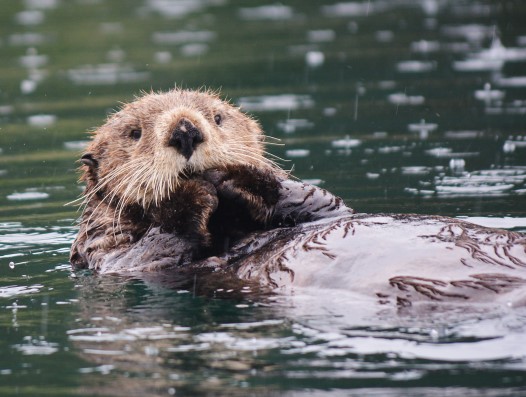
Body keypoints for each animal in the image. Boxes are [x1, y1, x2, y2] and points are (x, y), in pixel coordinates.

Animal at [72, 89, 526, 306]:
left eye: (217, 117)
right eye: (135, 133)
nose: (186, 130)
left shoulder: (323, 209)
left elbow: (318, 201)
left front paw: (239, 176)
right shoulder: (110, 255)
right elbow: (149, 254)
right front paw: (192, 192)